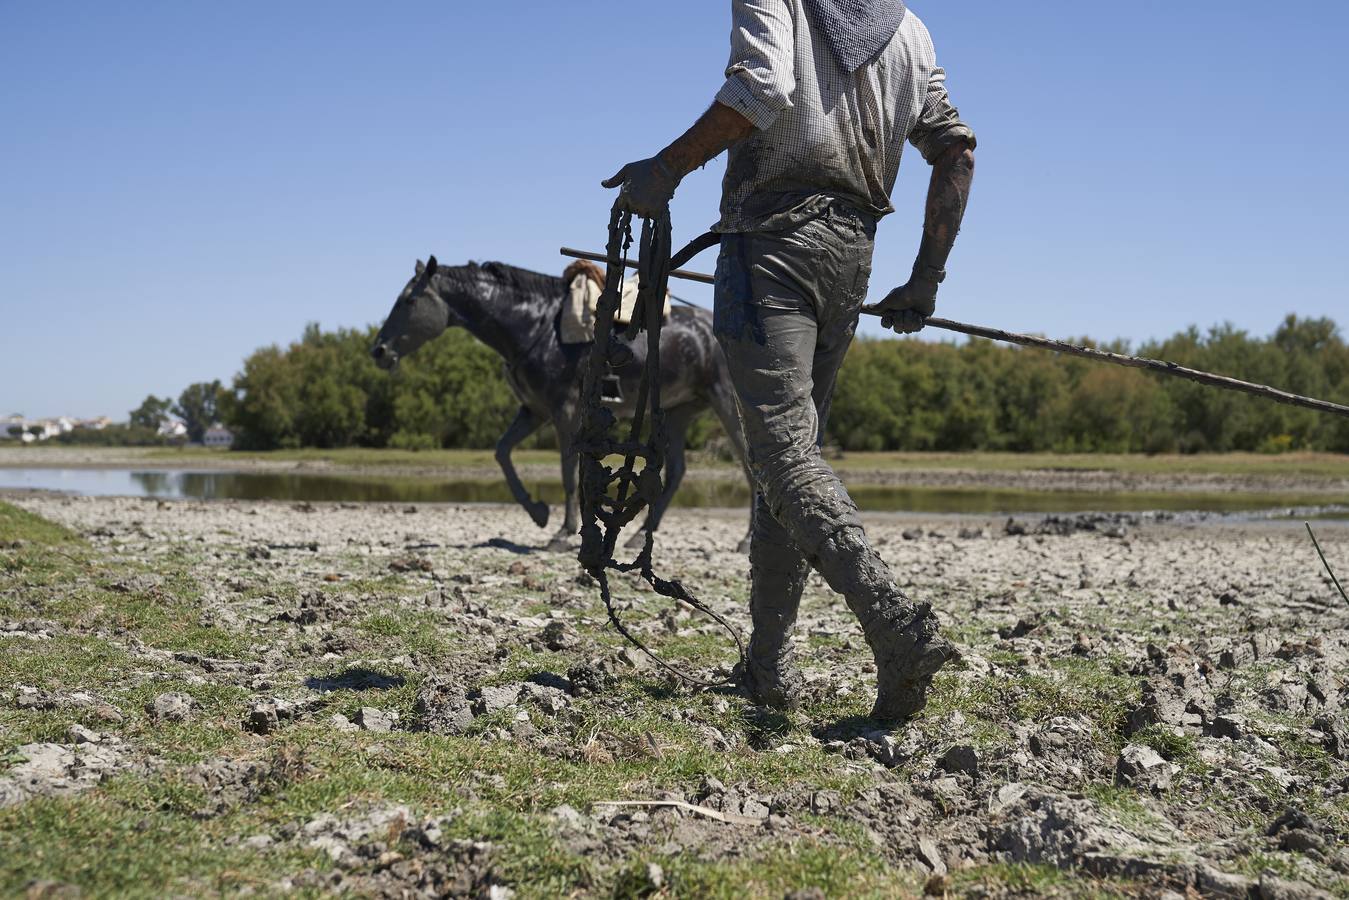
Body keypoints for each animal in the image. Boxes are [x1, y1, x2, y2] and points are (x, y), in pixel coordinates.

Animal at [369, 253, 755, 550]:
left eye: (409, 300)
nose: (379, 351)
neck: (535, 325)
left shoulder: (564, 411)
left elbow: (568, 472)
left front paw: (564, 532)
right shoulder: (534, 411)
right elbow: (502, 452)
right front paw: (538, 512)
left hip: (725, 403)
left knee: (750, 465)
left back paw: (746, 541)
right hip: (677, 413)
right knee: (676, 471)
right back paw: (640, 536)